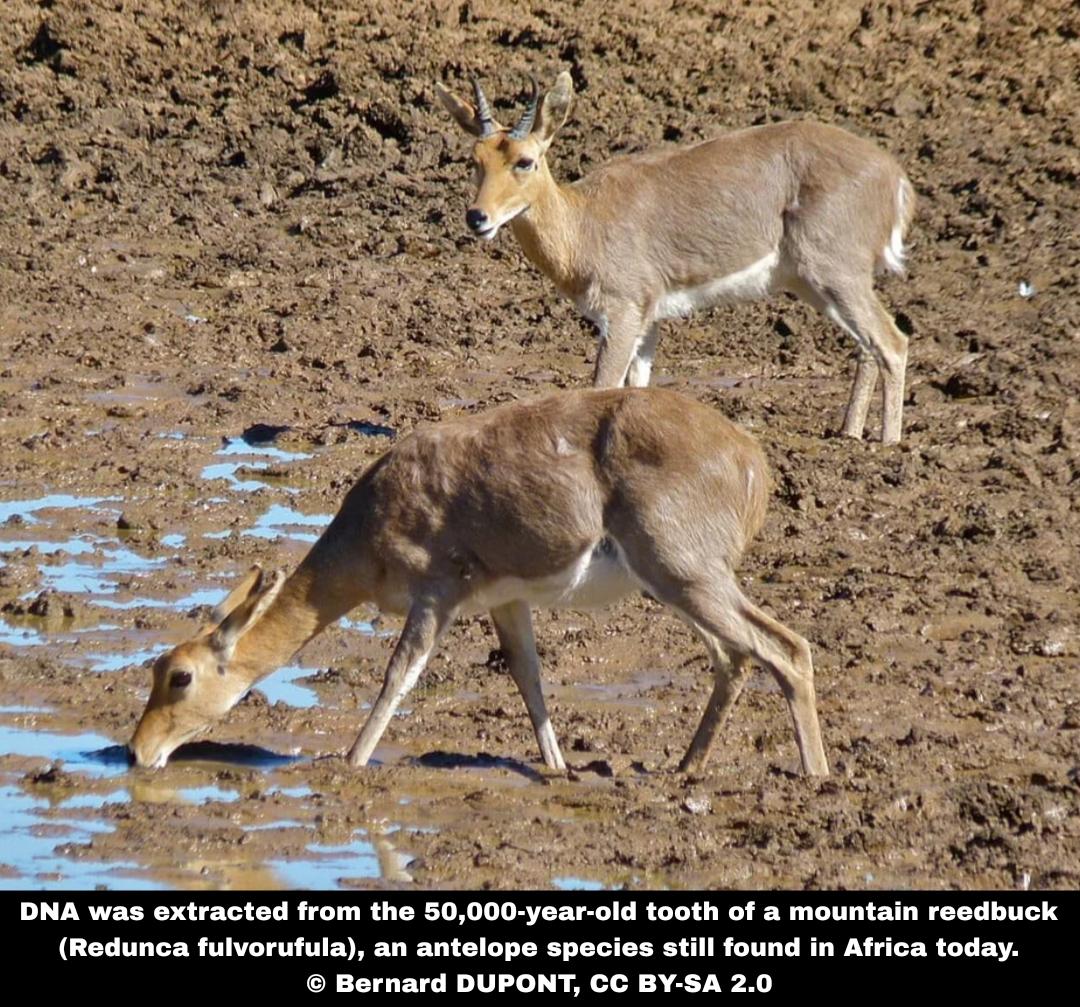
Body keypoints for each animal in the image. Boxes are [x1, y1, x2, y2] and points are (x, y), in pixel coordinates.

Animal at [131, 388, 828, 777]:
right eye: (156, 667)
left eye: (180, 676)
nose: (137, 752)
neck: (370, 522)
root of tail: (751, 461)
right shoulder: (507, 599)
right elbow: (528, 677)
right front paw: (558, 767)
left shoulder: (438, 590)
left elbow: (400, 673)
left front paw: (350, 762)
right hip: (682, 582)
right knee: (738, 655)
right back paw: (685, 768)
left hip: (682, 572)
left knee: (786, 648)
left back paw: (814, 777)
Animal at [436, 73, 915, 443]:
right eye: (475, 158)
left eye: (525, 161)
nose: (477, 217)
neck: (584, 223)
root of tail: (894, 174)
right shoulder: (649, 319)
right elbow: (637, 388)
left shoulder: (622, 311)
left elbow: (601, 387)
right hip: (815, 285)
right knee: (867, 347)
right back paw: (849, 435)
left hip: (836, 275)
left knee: (892, 341)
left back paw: (887, 446)